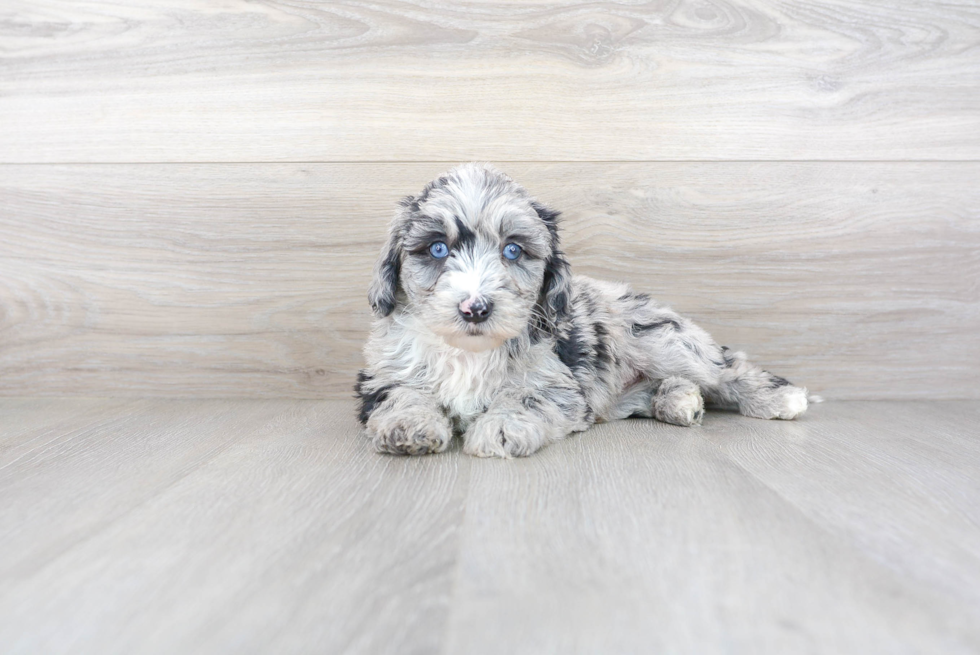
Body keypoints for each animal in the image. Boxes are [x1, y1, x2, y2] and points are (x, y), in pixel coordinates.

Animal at [356, 163, 816, 462]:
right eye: (437, 248)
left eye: (513, 250)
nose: (475, 308)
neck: (470, 352)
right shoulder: (382, 376)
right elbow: (404, 394)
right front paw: (409, 427)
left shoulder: (554, 380)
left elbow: (524, 395)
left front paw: (501, 427)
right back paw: (680, 401)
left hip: (664, 342)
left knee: (728, 369)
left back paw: (780, 397)